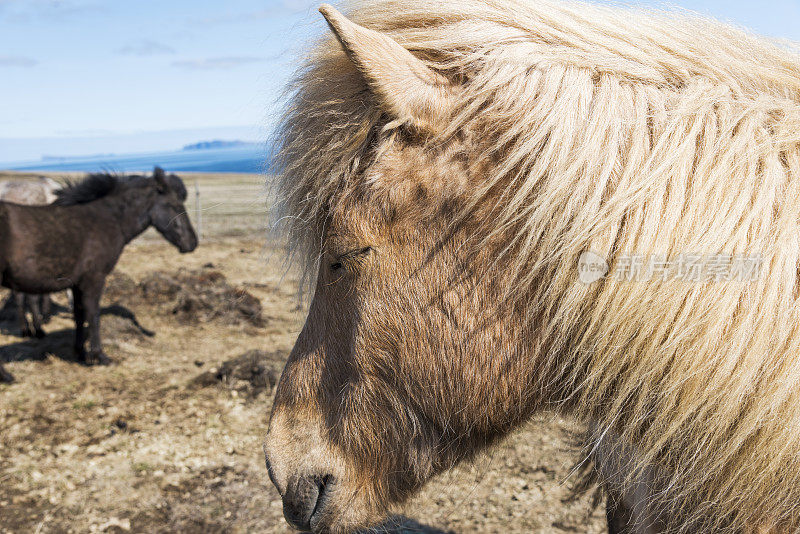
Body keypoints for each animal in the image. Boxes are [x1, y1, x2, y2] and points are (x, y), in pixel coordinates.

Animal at [0, 166, 197, 382]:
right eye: (172, 205)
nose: (192, 242)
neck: (106, 219)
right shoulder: (94, 279)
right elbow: (93, 315)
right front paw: (100, 356)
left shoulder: (76, 283)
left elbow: (79, 315)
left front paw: (80, 352)